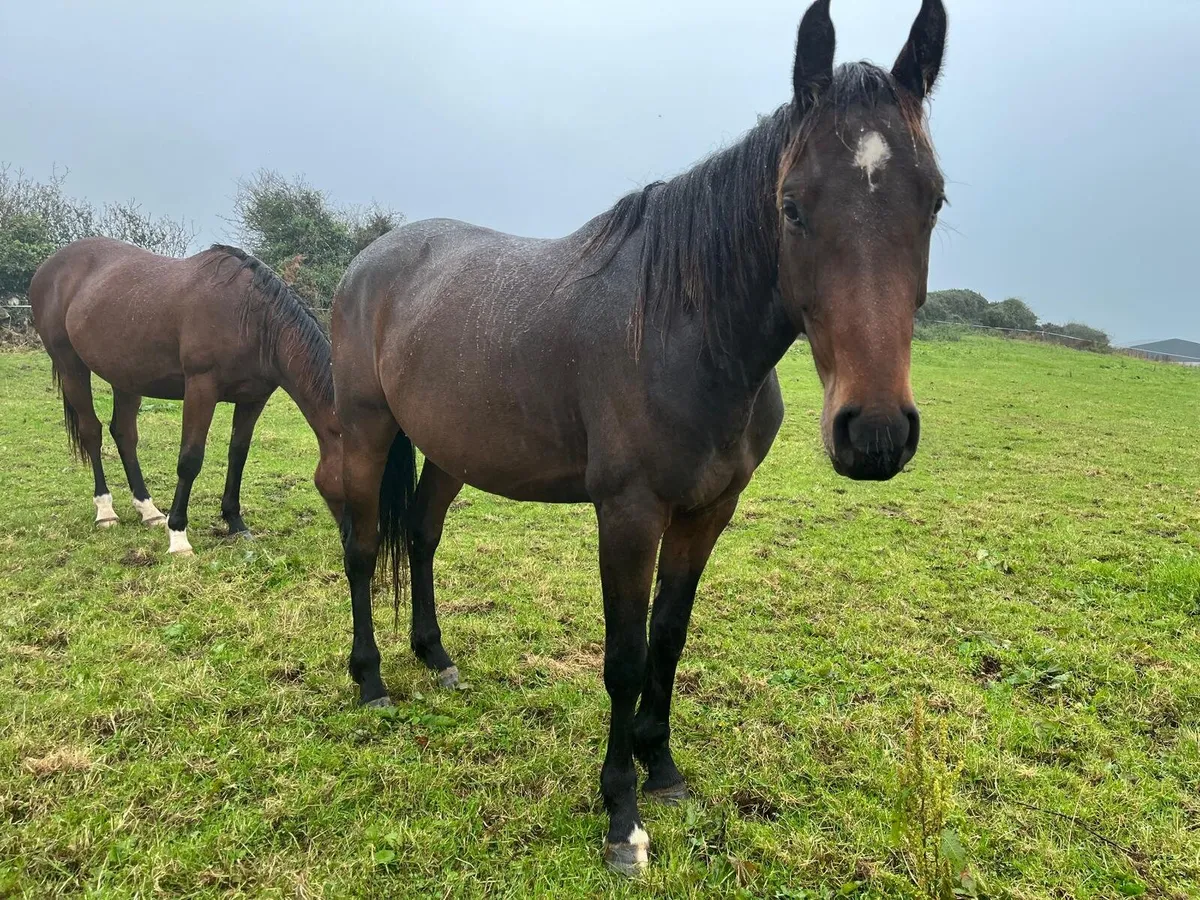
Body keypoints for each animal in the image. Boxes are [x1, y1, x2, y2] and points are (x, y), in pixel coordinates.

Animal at [29, 239, 344, 555]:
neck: (250, 317)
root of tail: (48, 267)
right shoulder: (200, 388)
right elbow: (190, 459)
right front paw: (178, 535)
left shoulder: (253, 399)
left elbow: (238, 454)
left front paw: (235, 523)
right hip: (71, 366)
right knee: (91, 432)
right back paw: (106, 511)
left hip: (126, 377)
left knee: (124, 434)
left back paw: (149, 510)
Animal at [332, 0, 947, 874]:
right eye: (792, 205)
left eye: (932, 201)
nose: (876, 433)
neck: (685, 330)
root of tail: (371, 259)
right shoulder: (628, 516)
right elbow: (623, 659)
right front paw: (621, 817)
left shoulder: (708, 512)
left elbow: (669, 638)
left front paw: (663, 769)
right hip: (364, 428)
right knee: (358, 548)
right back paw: (372, 681)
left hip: (450, 451)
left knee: (419, 536)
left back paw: (437, 658)